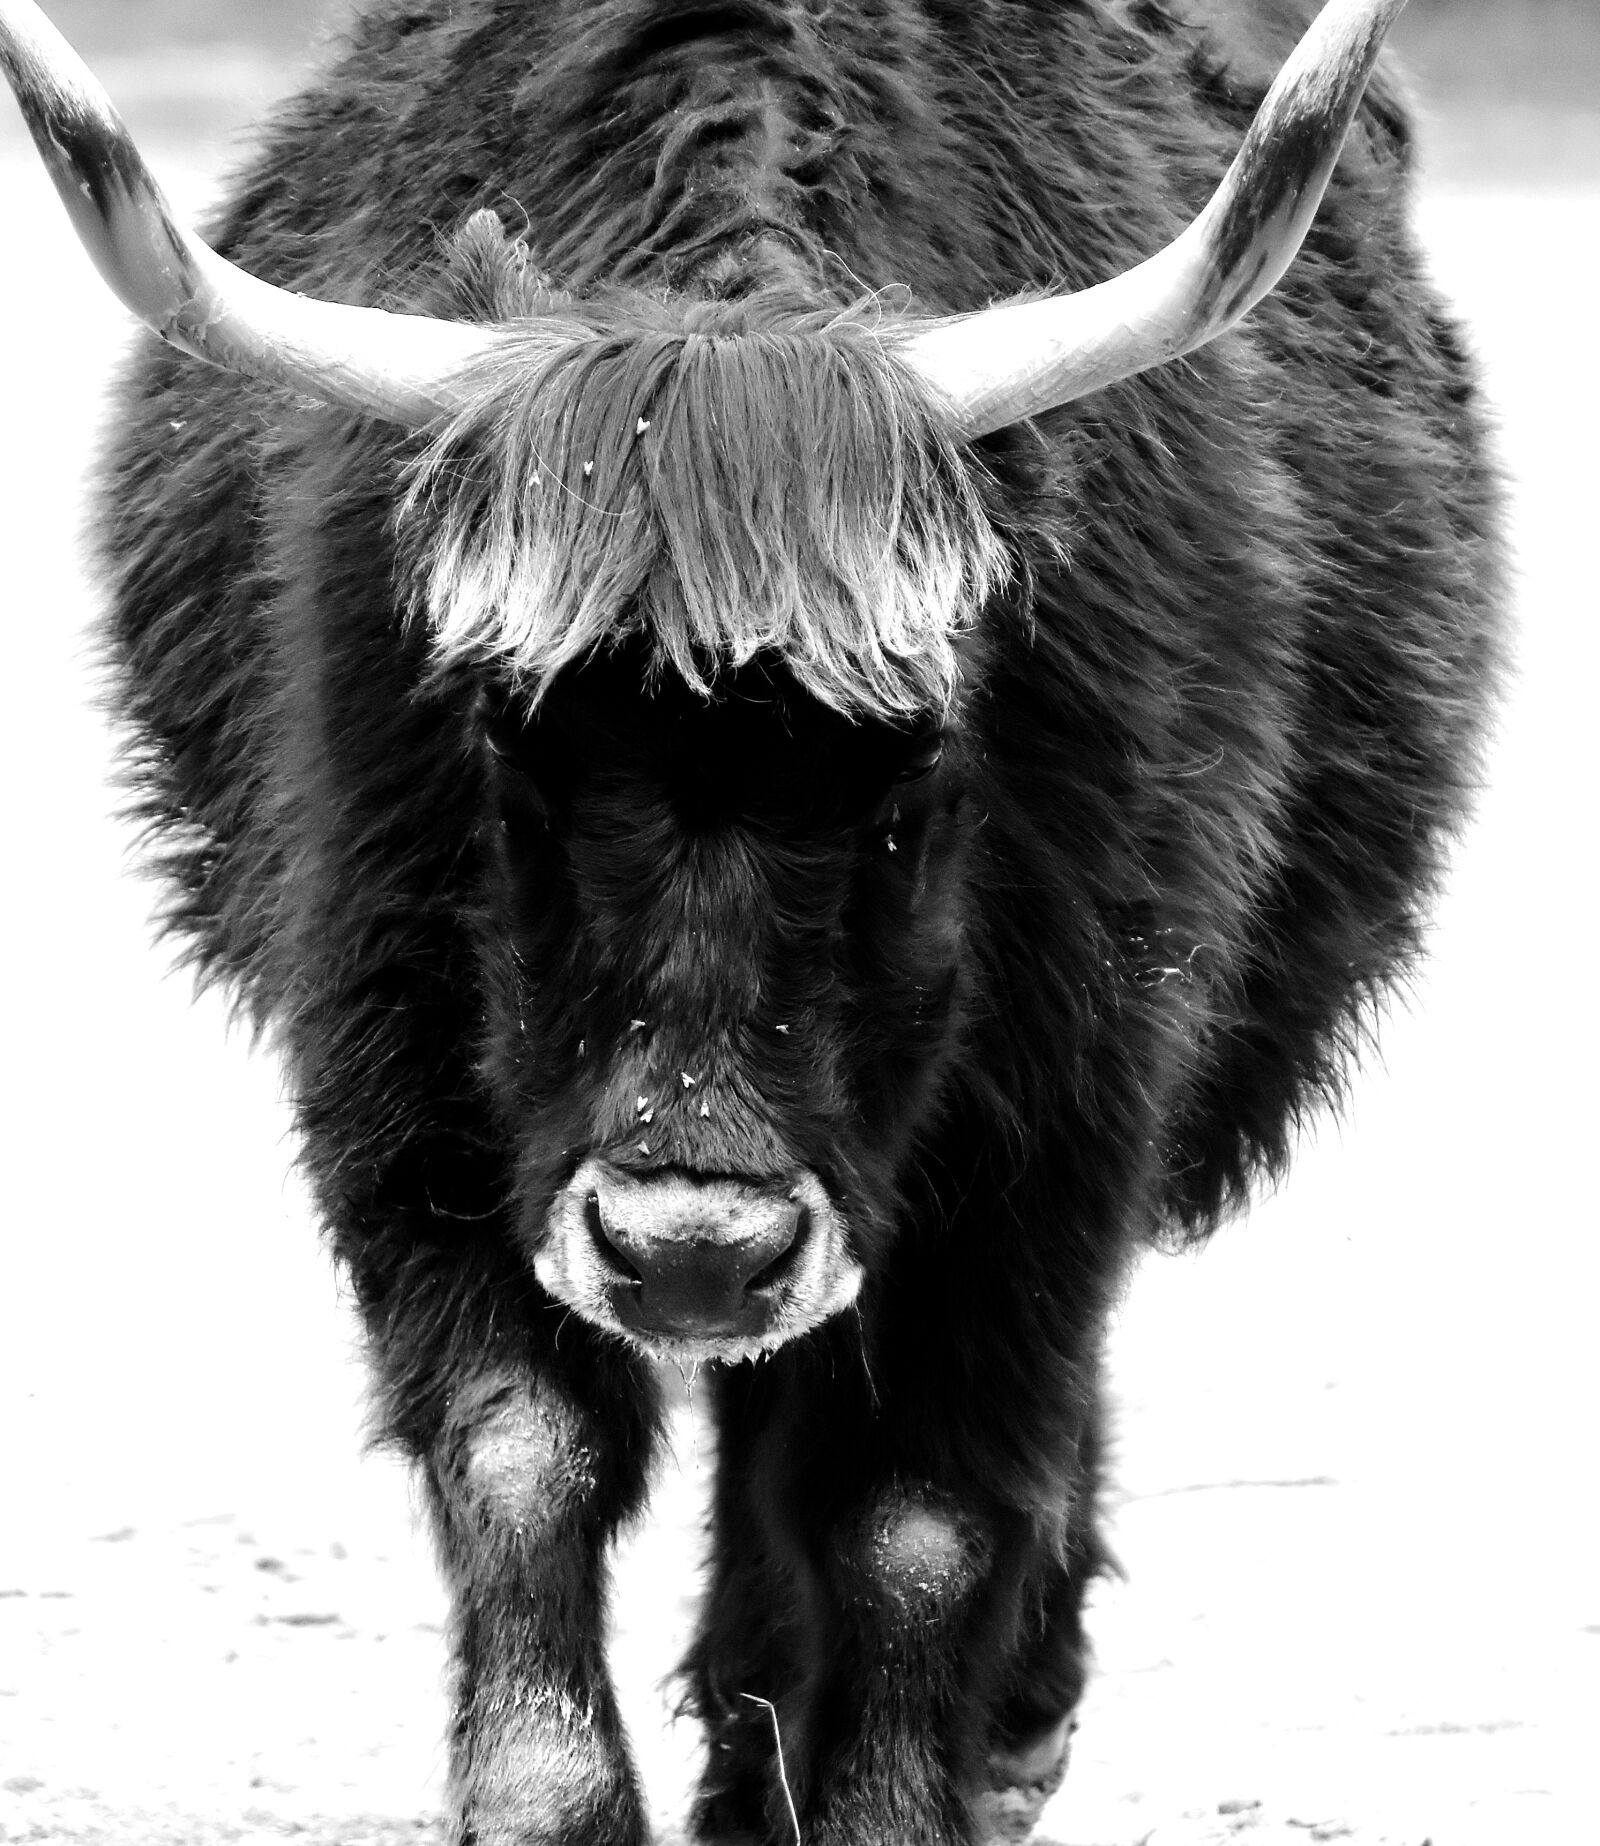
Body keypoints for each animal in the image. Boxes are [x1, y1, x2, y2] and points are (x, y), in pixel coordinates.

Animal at [1, 0, 1502, 1840]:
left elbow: (918, 1504)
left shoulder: (1049, 1119)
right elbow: (523, 1444)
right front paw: (551, 1797)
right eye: (512, 749)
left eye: (910, 771)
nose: (692, 1249)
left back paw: (975, 1730)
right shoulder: (403, 1086)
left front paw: (894, 1795)